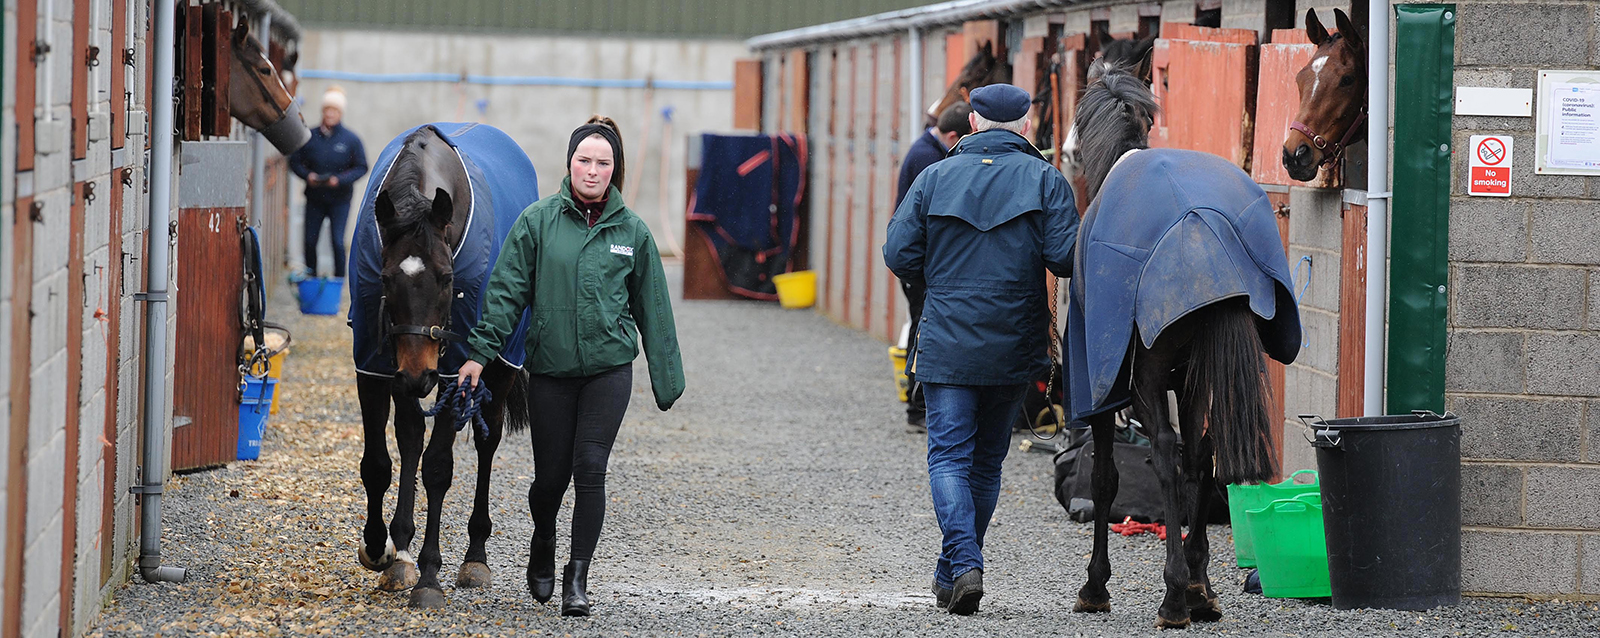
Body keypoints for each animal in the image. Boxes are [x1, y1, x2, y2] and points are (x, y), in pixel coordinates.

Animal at [348, 121, 537, 610]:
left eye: (449, 277)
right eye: (385, 277)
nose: (419, 375)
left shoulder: (456, 372)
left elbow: (438, 467)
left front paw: (430, 576)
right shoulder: (376, 363)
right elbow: (379, 461)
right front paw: (382, 548)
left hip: (501, 363)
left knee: (486, 443)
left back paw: (475, 557)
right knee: (410, 436)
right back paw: (400, 550)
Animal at [1062, 66, 1299, 630]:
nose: (1065, 153)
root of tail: (1203, 226)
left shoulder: (1104, 388)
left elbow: (1104, 479)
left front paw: (1095, 586)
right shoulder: (1188, 386)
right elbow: (1197, 460)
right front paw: (1199, 581)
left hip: (1146, 379)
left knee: (1168, 455)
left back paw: (1173, 596)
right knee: (1201, 454)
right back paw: (1197, 587)